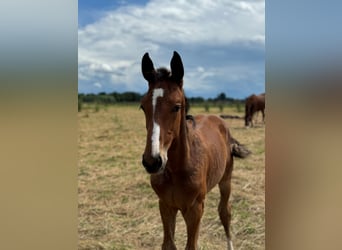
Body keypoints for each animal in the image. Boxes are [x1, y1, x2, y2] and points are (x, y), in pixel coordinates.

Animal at [140, 51, 250, 250]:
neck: (176, 169)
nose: (152, 161)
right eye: (142, 106)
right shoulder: (165, 205)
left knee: (225, 212)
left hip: (226, 179)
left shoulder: (195, 209)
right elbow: (168, 244)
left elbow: (191, 245)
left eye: (176, 107)